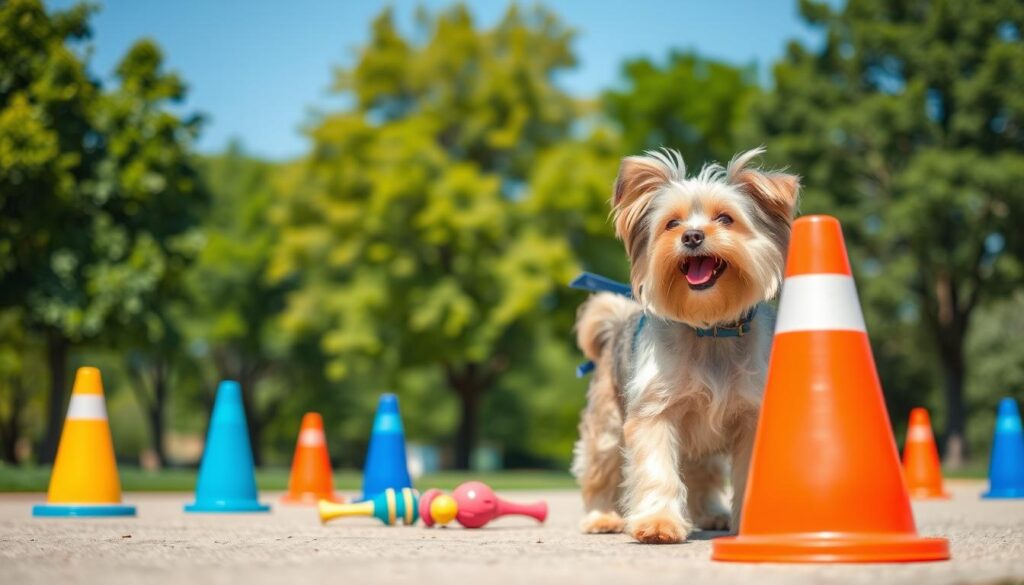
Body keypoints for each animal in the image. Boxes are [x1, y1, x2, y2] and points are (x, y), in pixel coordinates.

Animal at [569, 146, 798, 545]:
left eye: (726, 218)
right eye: (671, 224)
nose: (691, 236)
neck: (710, 329)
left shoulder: (751, 416)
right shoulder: (654, 411)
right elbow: (657, 469)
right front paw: (658, 523)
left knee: (702, 475)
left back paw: (712, 514)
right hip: (607, 424)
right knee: (601, 470)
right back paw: (602, 517)